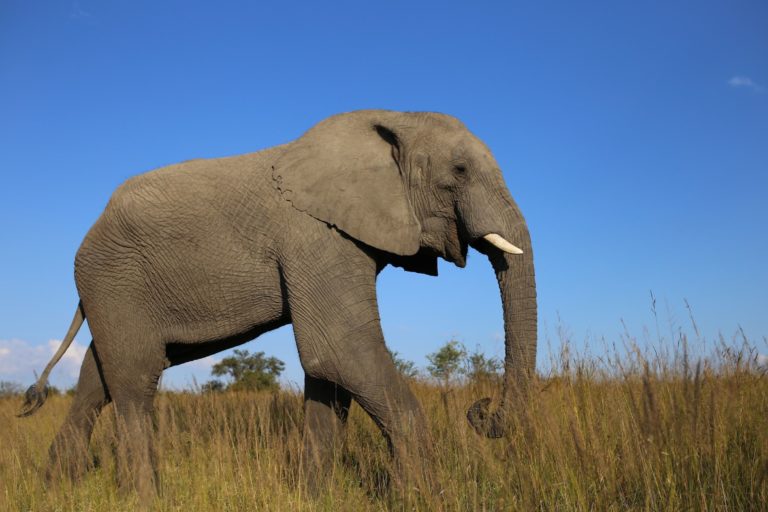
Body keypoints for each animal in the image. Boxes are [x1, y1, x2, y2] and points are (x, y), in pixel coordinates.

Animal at [19, 110, 537, 500]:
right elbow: (339, 351)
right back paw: (146, 497)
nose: (480, 408)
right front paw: (420, 499)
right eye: (460, 171)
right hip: (113, 279)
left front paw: (314, 497)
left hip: (115, 289)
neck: (392, 120)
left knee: (98, 377)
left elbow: (331, 374)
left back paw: (55, 488)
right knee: (135, 378)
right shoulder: (315, 236)